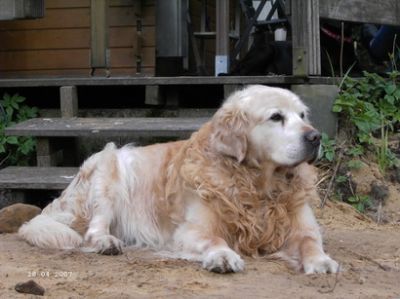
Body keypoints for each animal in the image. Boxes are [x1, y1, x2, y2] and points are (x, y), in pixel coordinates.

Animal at [18, 85, 338, 276]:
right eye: (276, 117)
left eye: (302, 115)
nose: (315, 137)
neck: (258, 187)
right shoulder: (191, 231)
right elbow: (215, 238)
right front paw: (223, 256)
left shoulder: (302, 225)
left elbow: (310, 240)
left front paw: (320, 261)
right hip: (108, 165)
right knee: (92, 231)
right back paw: (107, 242)